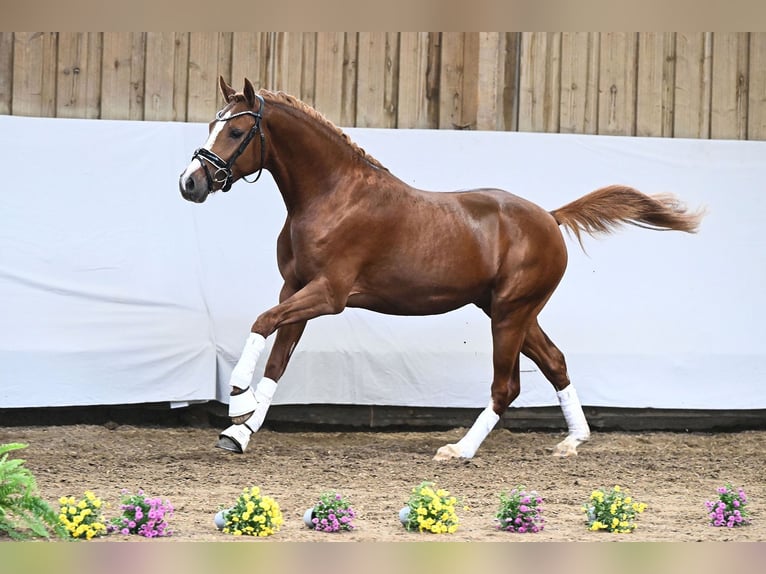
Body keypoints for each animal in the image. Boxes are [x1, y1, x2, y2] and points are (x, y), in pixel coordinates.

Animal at [180, 77, 708, 464]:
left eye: (235, 132)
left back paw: (460, 450)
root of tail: (549, 217)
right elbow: (277, 360)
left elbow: (262, 323)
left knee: (507, 386)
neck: (332, 196)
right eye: (210, 124)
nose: (191, 183)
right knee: (555, 362)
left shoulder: (328, 294)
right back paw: (572, 441)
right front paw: (240, 432)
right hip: (513, 311)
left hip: (510, 313)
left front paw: (237, 399)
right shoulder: (296, 288)